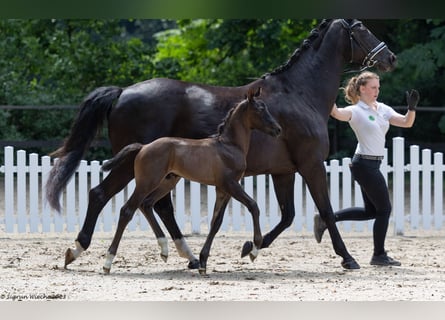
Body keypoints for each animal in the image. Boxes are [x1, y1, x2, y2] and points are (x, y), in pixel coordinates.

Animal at [101, 88, 280, 276]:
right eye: (260, 109)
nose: (278, 129)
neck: (229, 146)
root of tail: (143, 147)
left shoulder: (223, 189)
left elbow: (216, 222)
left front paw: (203, 262)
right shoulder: (231, 184)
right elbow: (253, 206)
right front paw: (254, 249)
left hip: (167, 182)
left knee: (146, 204)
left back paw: (164, 250)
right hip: (147, 182)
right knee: (127, 210)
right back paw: (108, 262)